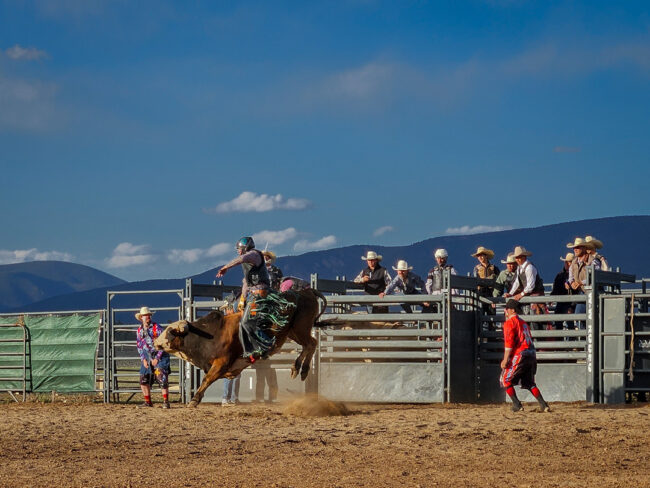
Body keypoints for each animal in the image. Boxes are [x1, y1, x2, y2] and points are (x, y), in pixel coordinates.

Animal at [153, 288, 324, 406]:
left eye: (170, 332)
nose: (155, 342)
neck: (210, 334)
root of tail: (307, 291)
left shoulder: (222, 363)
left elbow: (207, 379)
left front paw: (194, 400)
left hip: (300, 328)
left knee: (310, 344)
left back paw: (301, 369)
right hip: (293, 331)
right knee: (311, 344)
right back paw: (299, 369)